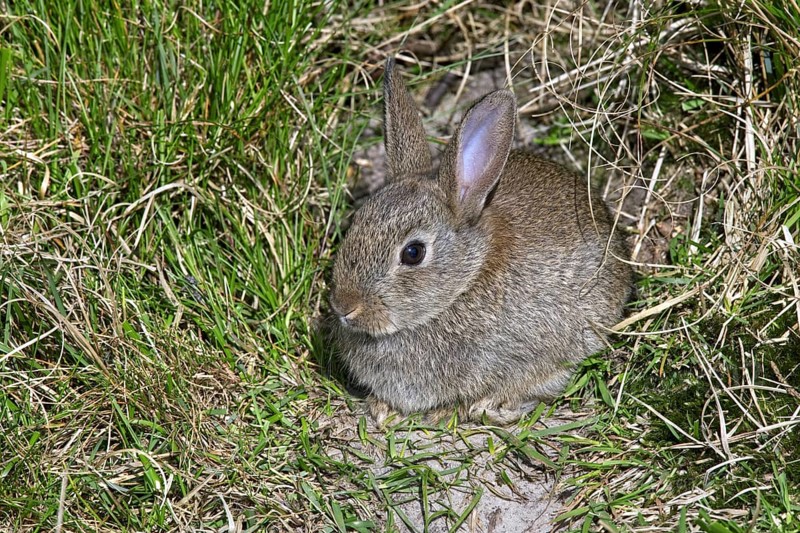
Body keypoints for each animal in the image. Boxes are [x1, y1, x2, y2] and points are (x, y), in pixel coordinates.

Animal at [329, 58, 633, 426]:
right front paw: (382, 407)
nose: (344, 306)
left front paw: (466, 409)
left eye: (413, 253)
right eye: (356, 221)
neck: (463, 284)